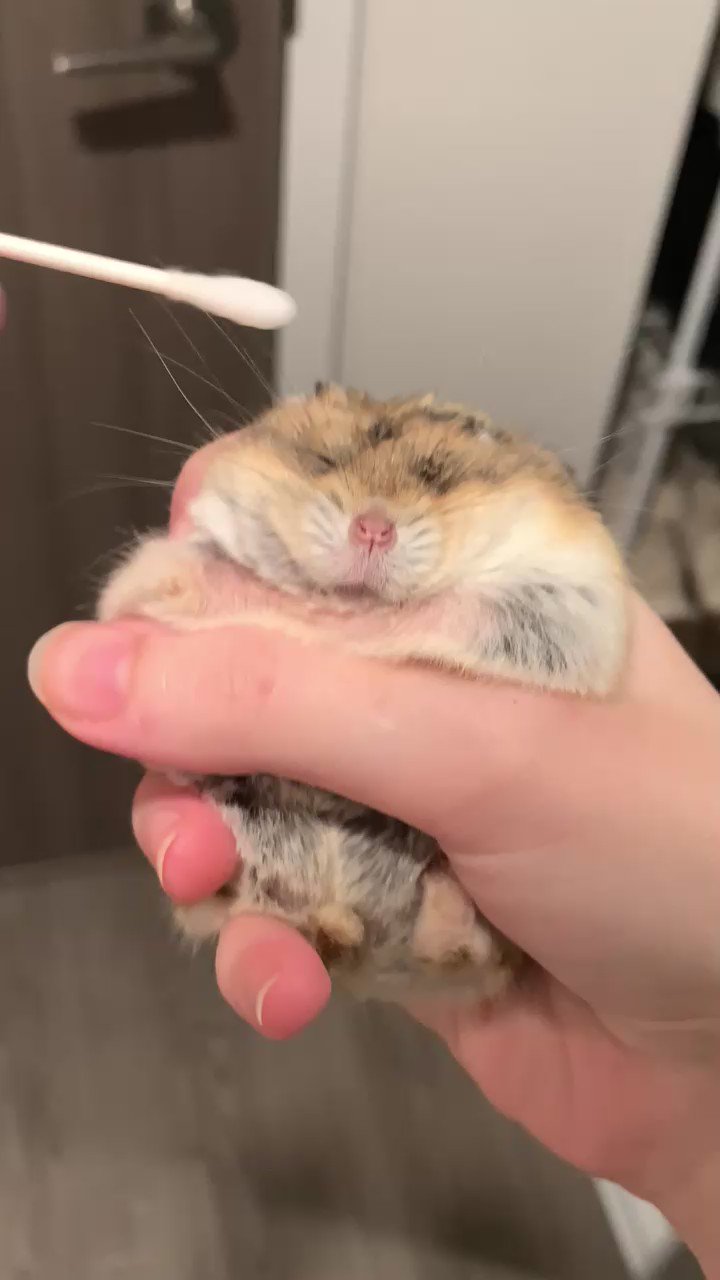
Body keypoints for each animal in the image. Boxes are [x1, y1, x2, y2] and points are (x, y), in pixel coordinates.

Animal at [98, 384, 628, 1006]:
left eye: (436, 476)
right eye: (324, 461)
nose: (372, 528)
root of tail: (360, 947)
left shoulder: (569, 609)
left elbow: (439, 612)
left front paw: (327, 617)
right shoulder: (151, 577)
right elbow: (167, 584)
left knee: (457, 950)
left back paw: (441, 899)